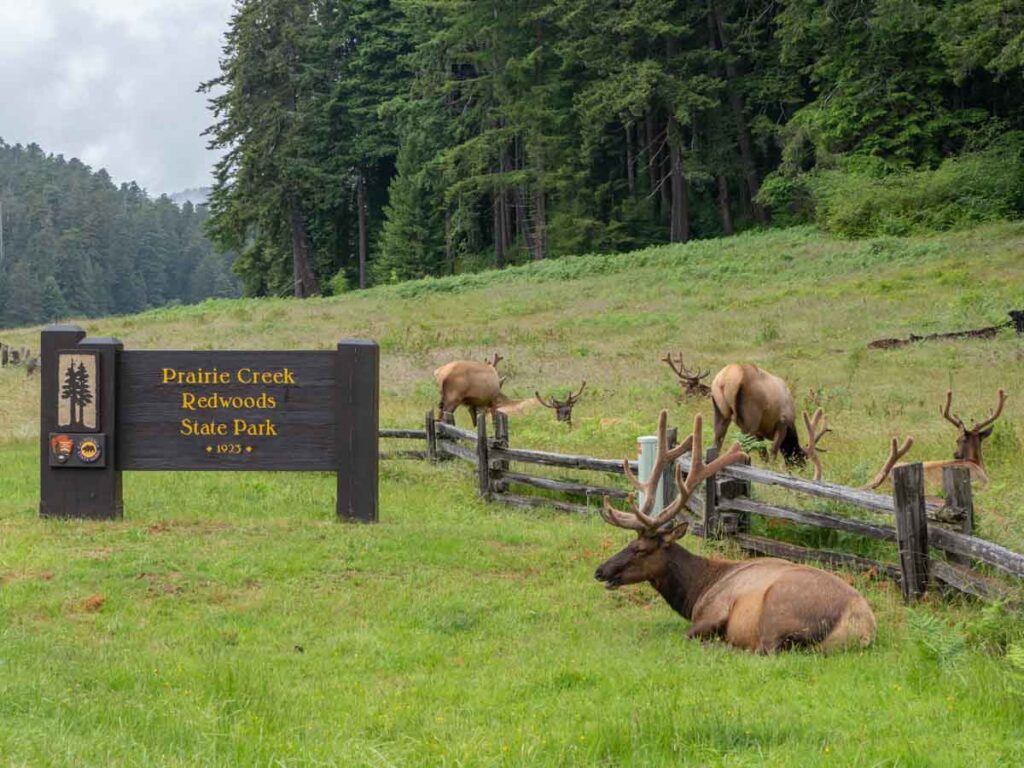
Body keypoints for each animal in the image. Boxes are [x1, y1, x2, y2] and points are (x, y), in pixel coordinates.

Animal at [598, 411, 876, 651]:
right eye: (628, 543)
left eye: (640, 549)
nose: (600, 571)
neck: (697, 591)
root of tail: (859, 626)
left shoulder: (714, 611)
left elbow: (687, 635)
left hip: (777, 610)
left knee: (765, 649)